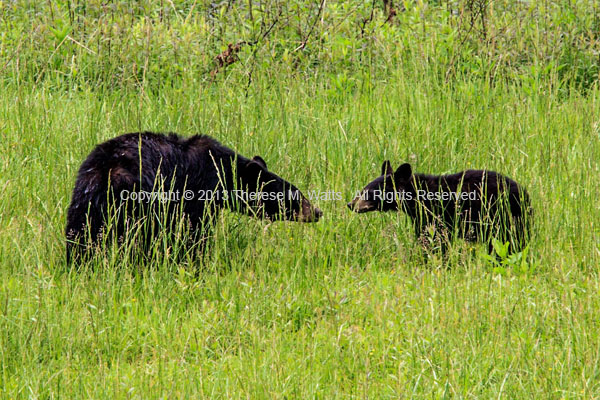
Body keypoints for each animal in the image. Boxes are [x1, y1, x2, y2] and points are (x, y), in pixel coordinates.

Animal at [65, 130, 324, 262]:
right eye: (294, 195)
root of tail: (105, 175)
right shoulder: (195, 193)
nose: (317, 211)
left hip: (84, 203)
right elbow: (195, 231)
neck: (221, 170)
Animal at [350, 161, 532, 255]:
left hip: (503, 218)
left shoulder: (437, 215)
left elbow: (436, 240)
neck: (419, 197)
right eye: (364, 188)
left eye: (370, 191)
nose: (350, 204)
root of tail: (524, 193)